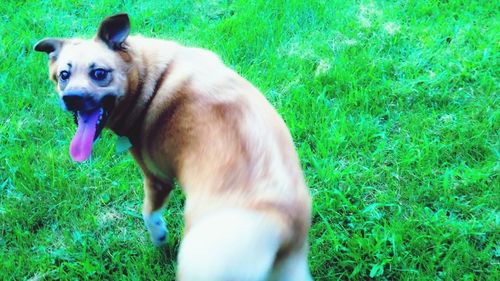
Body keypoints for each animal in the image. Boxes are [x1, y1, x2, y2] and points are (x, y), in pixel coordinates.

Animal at [35, 13, 310, 280]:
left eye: (100, 73)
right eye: (64, 75)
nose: (71, 98)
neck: (149, 78)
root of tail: (279, 220)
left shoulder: (156, 178)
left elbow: (149, 214)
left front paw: (160, 239)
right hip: (291, 270)